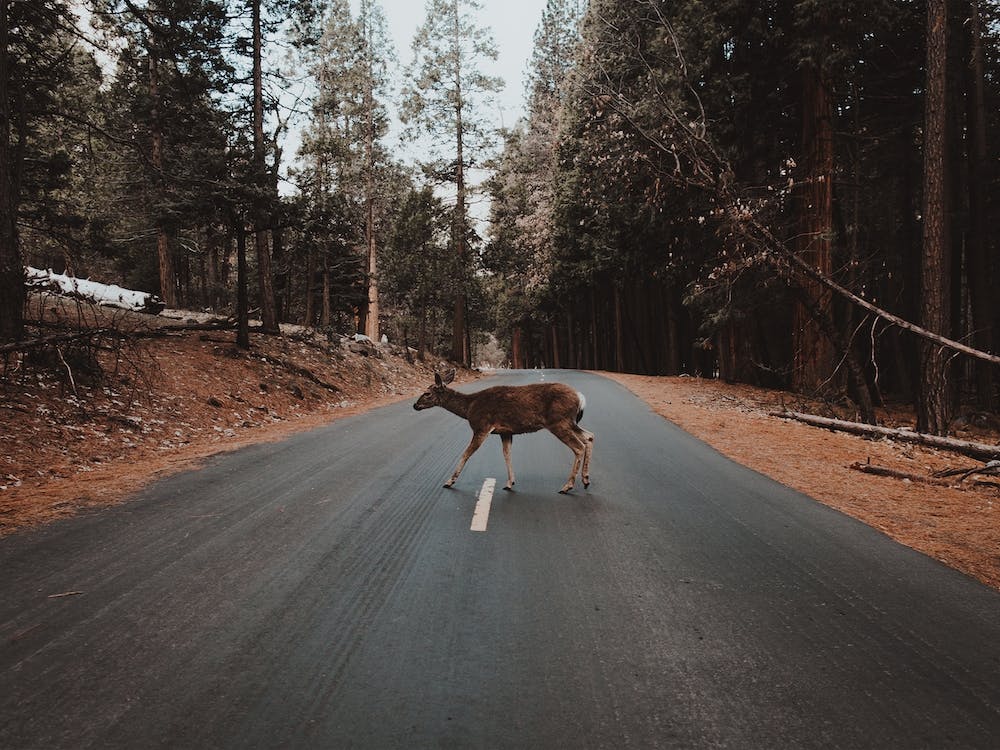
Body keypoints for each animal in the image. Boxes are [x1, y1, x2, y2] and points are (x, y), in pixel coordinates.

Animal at [413, 370, 594, 494]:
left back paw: (567, 486)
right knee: (589, 436)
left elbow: (466, 453)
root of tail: (580, 397)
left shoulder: (482, 426)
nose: (415, 405)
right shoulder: (505, 432)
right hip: (569, 422)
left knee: (579, 446)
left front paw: (449, 481)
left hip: (559, 422)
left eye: (427, 393)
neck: (469, 407)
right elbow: (507, 454)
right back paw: (585, 480)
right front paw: (510, 482)